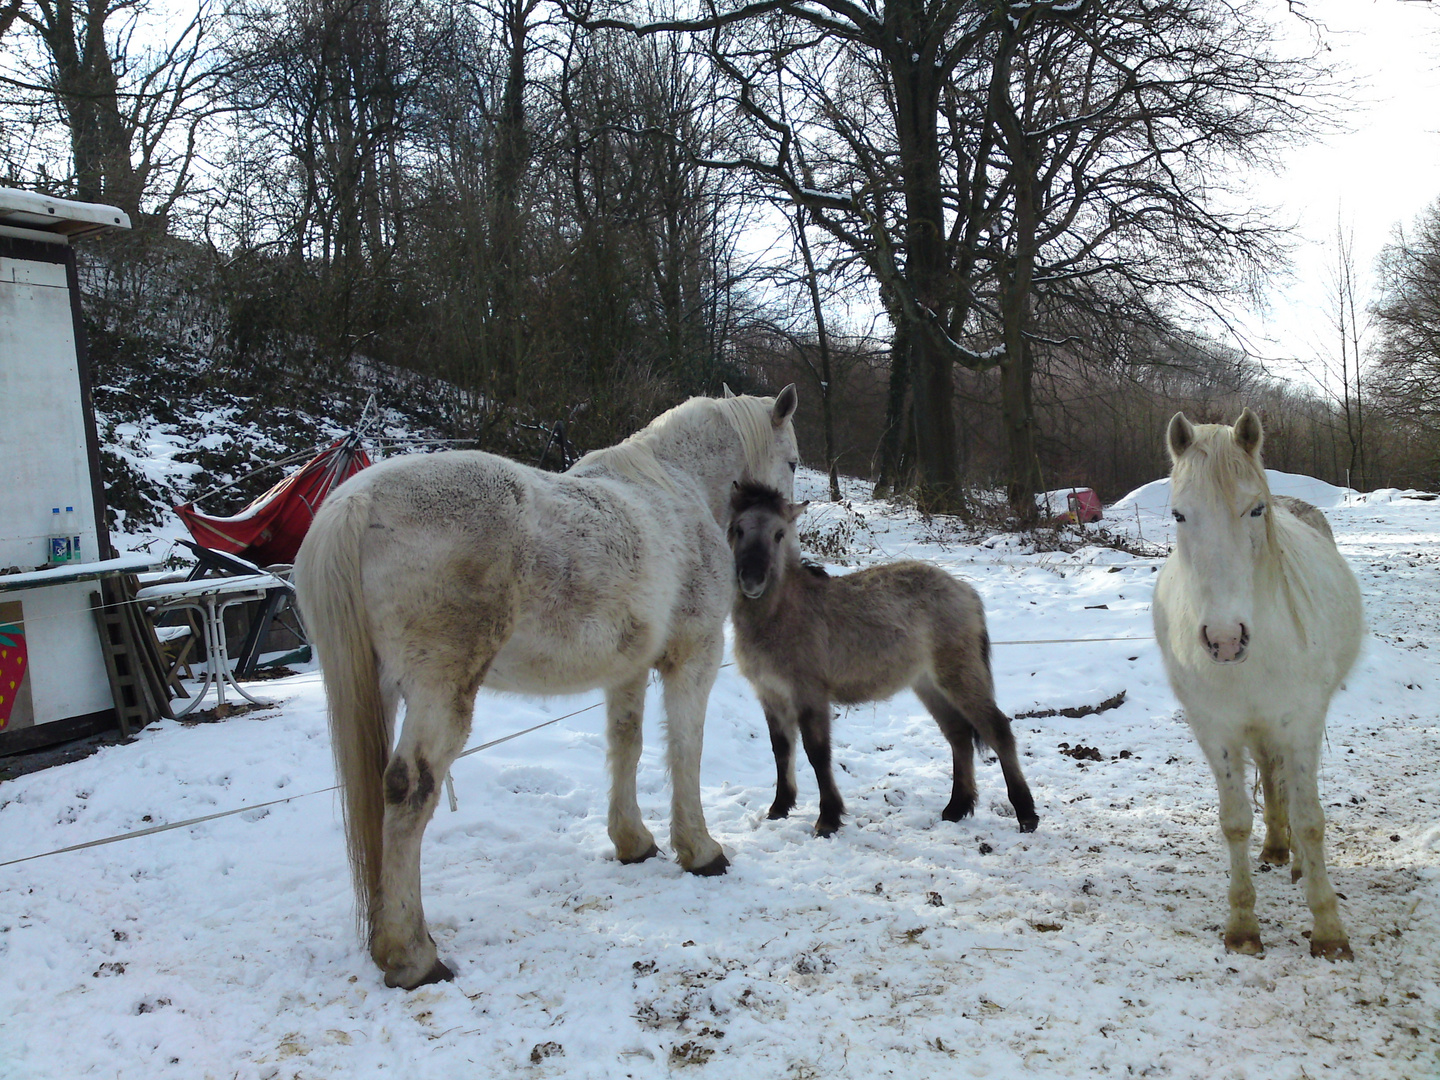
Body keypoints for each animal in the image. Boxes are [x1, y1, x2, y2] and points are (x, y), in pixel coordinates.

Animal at [298, 385, 806, 990]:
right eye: (793, 462)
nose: (774, 564)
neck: (679, 490)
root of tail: (358, 503)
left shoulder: (627, 669)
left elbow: (627, 744)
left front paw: (634, 843)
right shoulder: (693, 658)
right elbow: (686, 749)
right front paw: (701, 850)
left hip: (381, 691)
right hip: (439, 694)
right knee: (408, 791)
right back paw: (412, 957)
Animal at [731, 486, 1036, 840]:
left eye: (779, 534)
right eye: (739, 529)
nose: (752, 580)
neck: (781, 614)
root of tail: (964, 589)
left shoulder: (810, 694)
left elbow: (818, 752)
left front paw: (828, 818)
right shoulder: (770, 694)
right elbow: (781, 749)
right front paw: (779, 807)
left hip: (960, 675)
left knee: (997, 730)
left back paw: (1026, 814)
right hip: (928, 684)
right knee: (959, 735)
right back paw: (956, 808)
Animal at [1152, 408, 1365, 961]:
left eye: (1255, 510)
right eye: (1179, 515)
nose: (1225, 640)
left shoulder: (1301, 723)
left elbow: (1311, 819)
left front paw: (1329, 932)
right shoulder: (1216, 730)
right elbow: (1234, 821)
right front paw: (1243, 925)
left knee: (1287, 785)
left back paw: (1296, 862)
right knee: (1270, 776)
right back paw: (1274, 848)